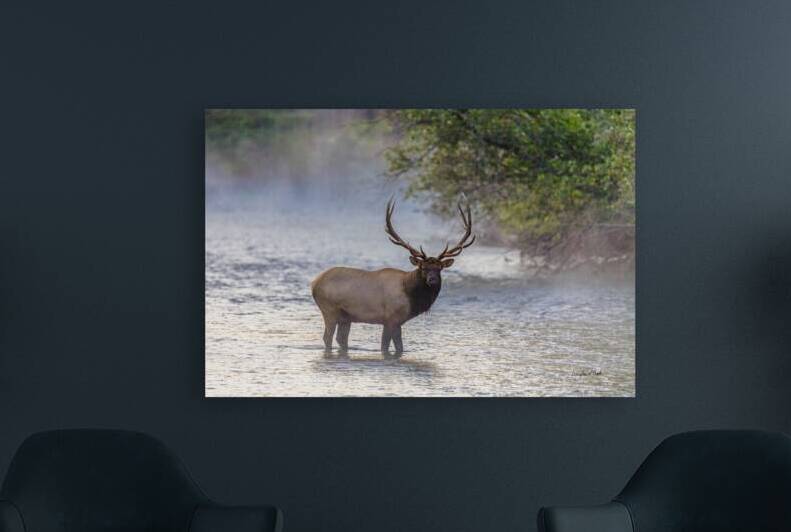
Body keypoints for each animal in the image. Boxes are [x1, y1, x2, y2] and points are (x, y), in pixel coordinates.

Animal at [311, 199, 475, 358]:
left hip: (346, 317)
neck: (411, 296)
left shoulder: (397, 322)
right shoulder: (391, 318)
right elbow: (387, 347)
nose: (432, 280)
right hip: (329, 310)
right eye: (423, 267)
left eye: (439, 268)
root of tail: (314, 283)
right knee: (327, 337)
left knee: (341, 339)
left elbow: (398, 347)